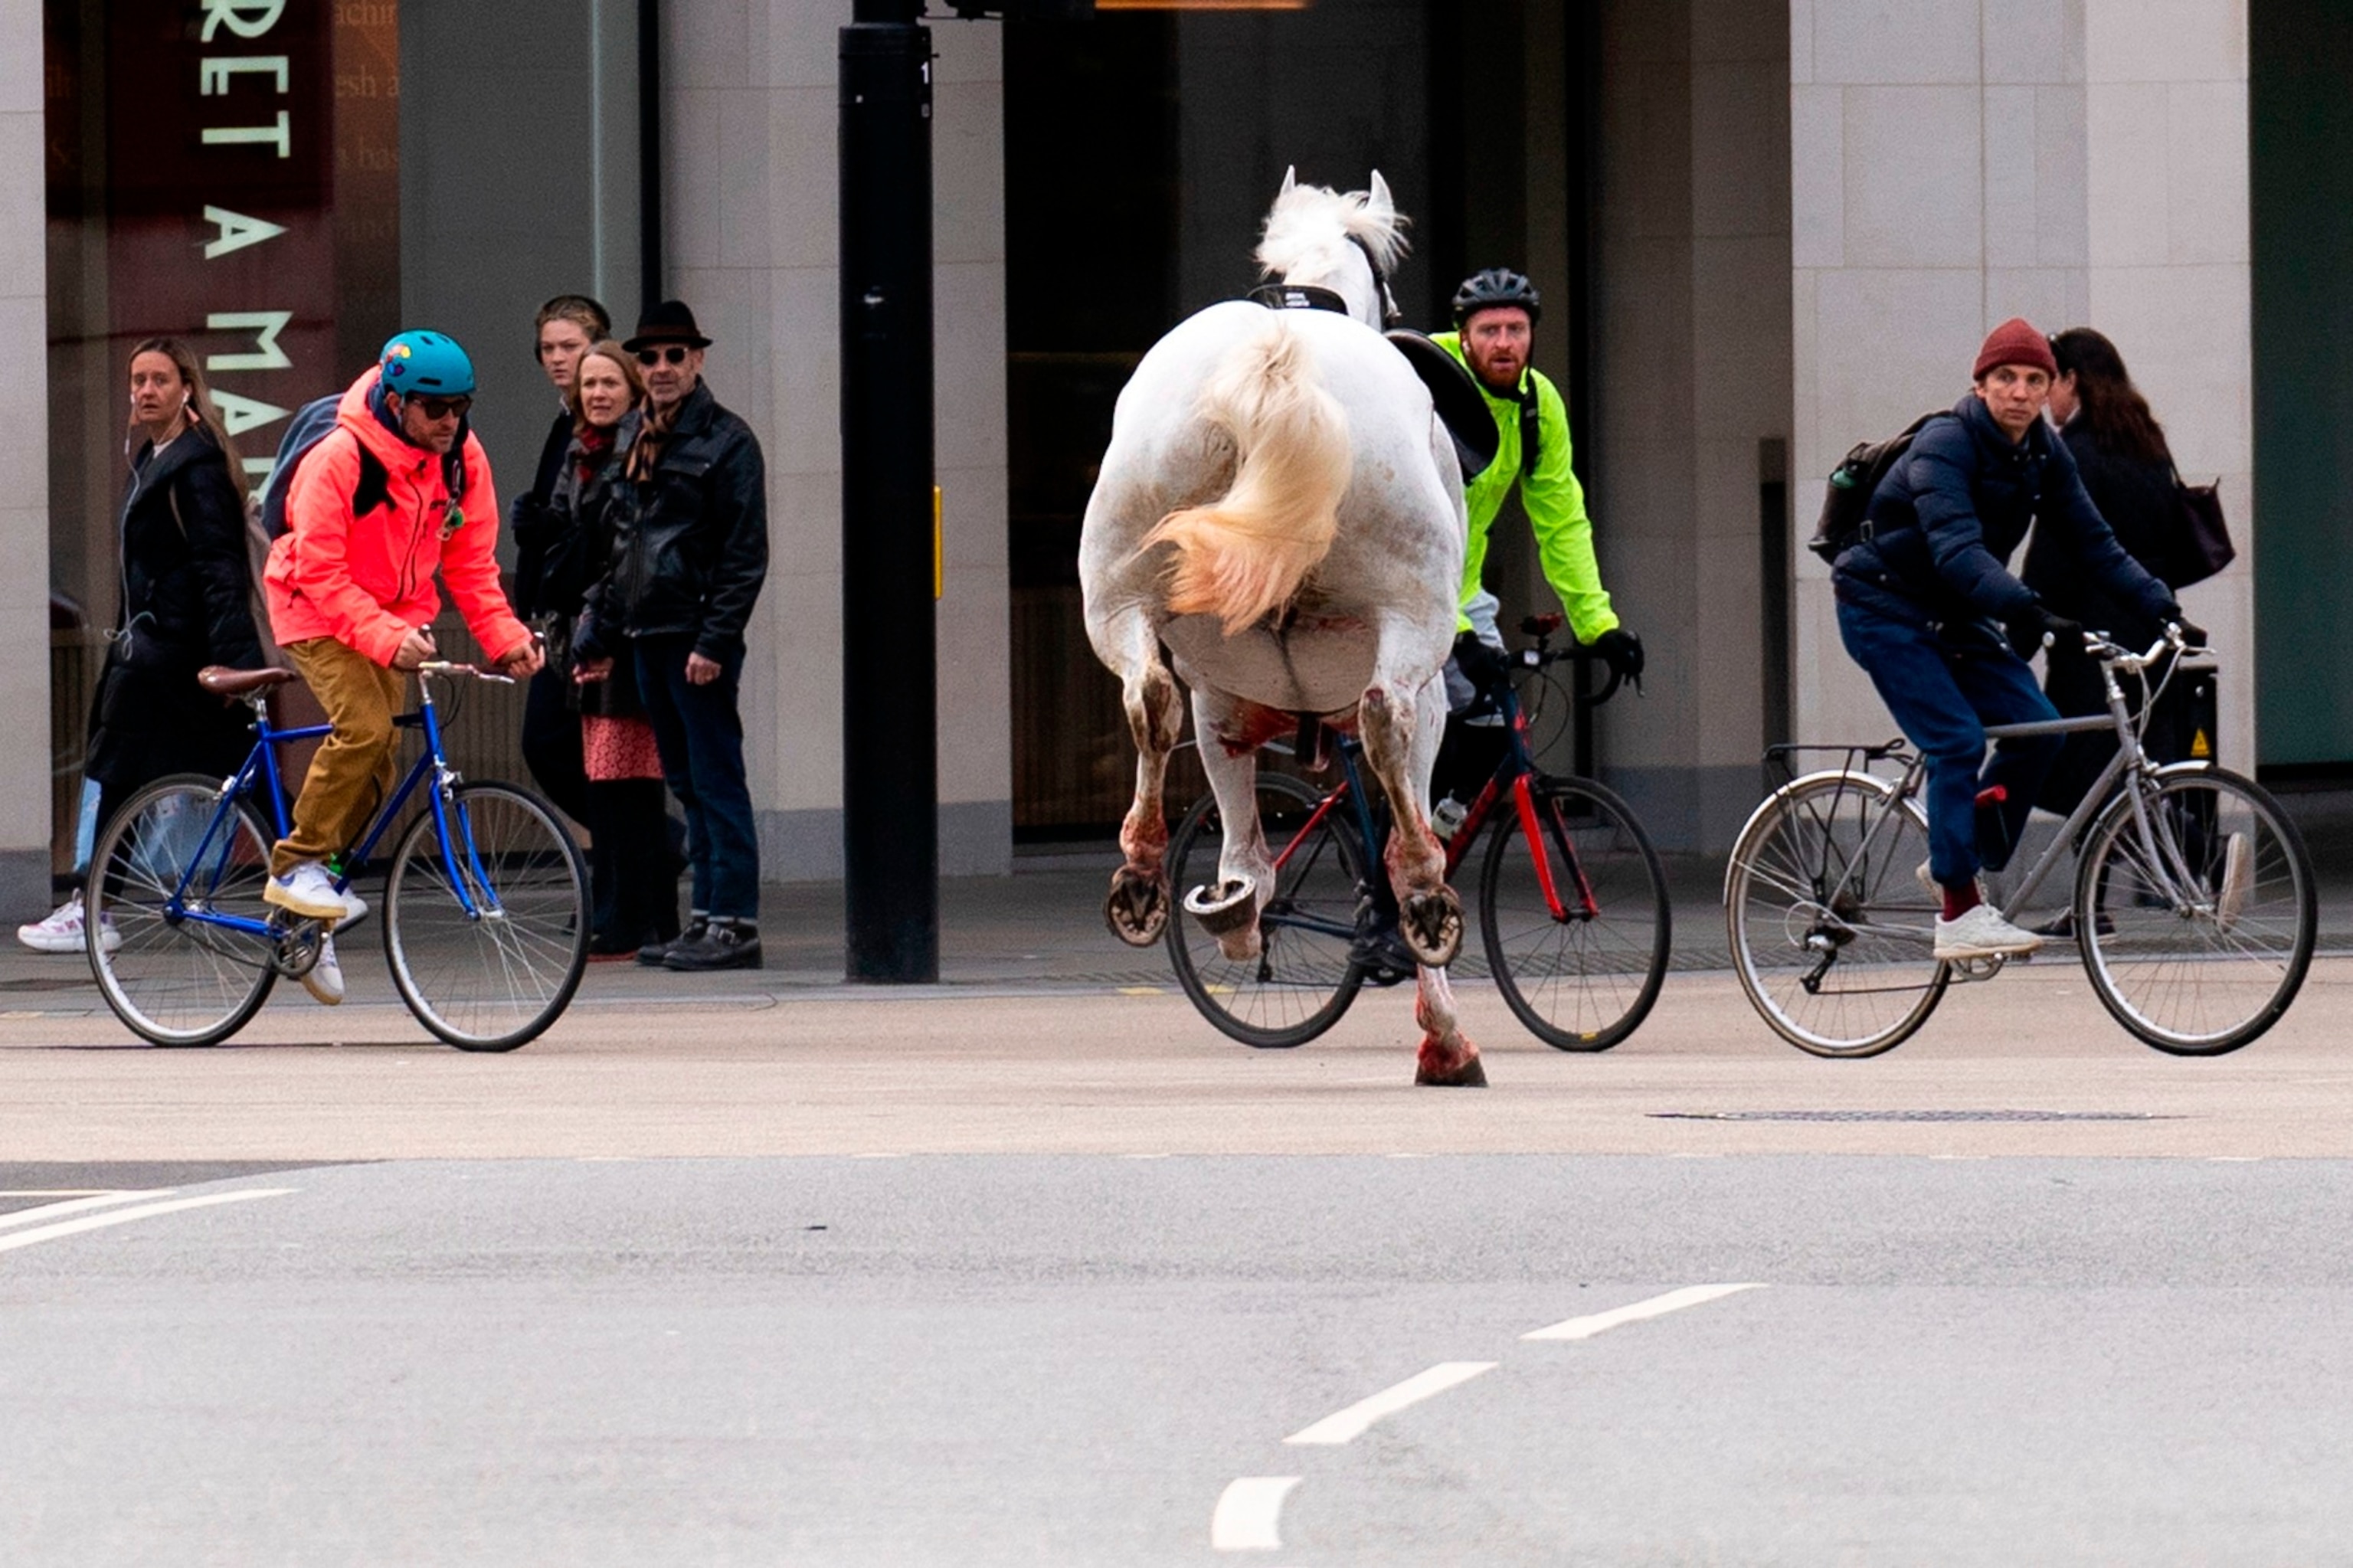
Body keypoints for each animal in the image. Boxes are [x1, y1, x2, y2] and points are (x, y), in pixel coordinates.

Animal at [1077, 168, 1478, 1073]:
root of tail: (1278, 356)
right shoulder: (1433, 698)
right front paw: (1444, 1033)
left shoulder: (1222, 704)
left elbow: (1242, 848)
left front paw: (1232, 909)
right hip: (1410, 619)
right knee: (1387, 721)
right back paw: (1426, 899)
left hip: (1118, 588)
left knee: (1149, 698)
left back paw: (1145, 873)